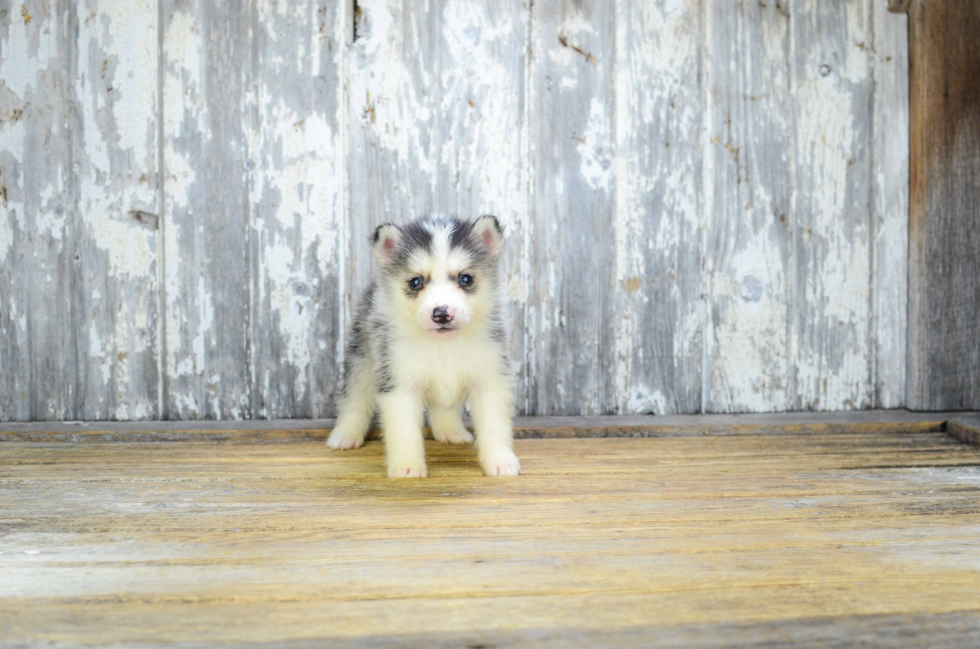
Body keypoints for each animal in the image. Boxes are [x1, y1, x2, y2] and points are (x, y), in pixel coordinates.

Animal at [328, 213, 520, 476]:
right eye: (416, 282)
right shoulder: (398, 383)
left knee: (443, 406)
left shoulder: (491, 378)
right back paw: (345, 435)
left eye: (465, 278)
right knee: (354, 400)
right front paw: (407, 467)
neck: (443, 345)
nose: (441, 313)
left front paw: (501, 461)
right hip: (362, 361)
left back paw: (451, 431)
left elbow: (495, 425)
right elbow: (404, 431)